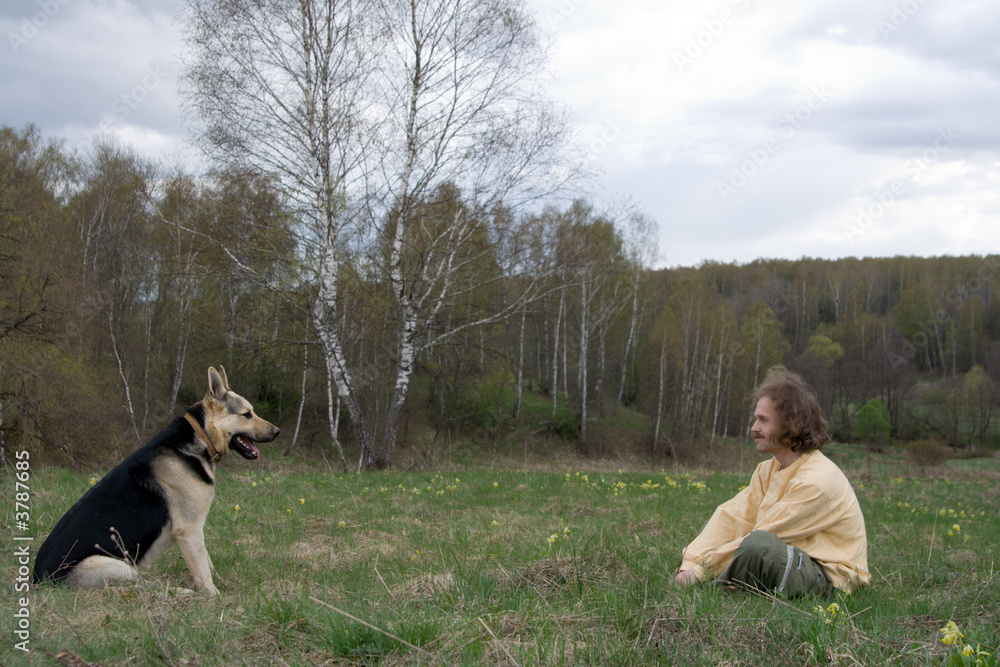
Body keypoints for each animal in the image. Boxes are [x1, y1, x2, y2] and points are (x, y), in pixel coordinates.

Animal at [33, 366, 279, 595]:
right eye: (247, 414)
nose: (277, 432)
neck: (200, 436)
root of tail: (38, 581)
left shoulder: (195, 531)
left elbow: (208, 564)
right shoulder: (189, 531)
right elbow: (203, 574)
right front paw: (214, 597)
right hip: (119, 566)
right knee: (146, 588)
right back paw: (183, 593)